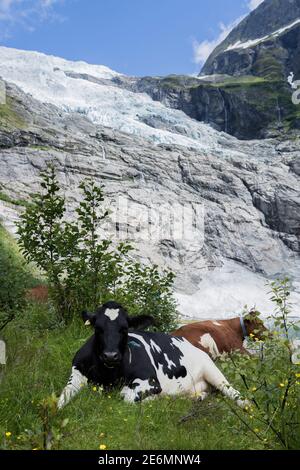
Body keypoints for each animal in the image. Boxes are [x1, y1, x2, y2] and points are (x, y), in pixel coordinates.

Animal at [57, 302, 250, 408]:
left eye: (125, 328)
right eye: (97, 328)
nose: (110, 356)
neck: (108, 376)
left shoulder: (150, 382)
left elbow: (126, 396)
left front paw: (153, 399)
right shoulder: (76, 373)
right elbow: (60, 399)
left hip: (212, 370)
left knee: (234, 393)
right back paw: (197, 397)